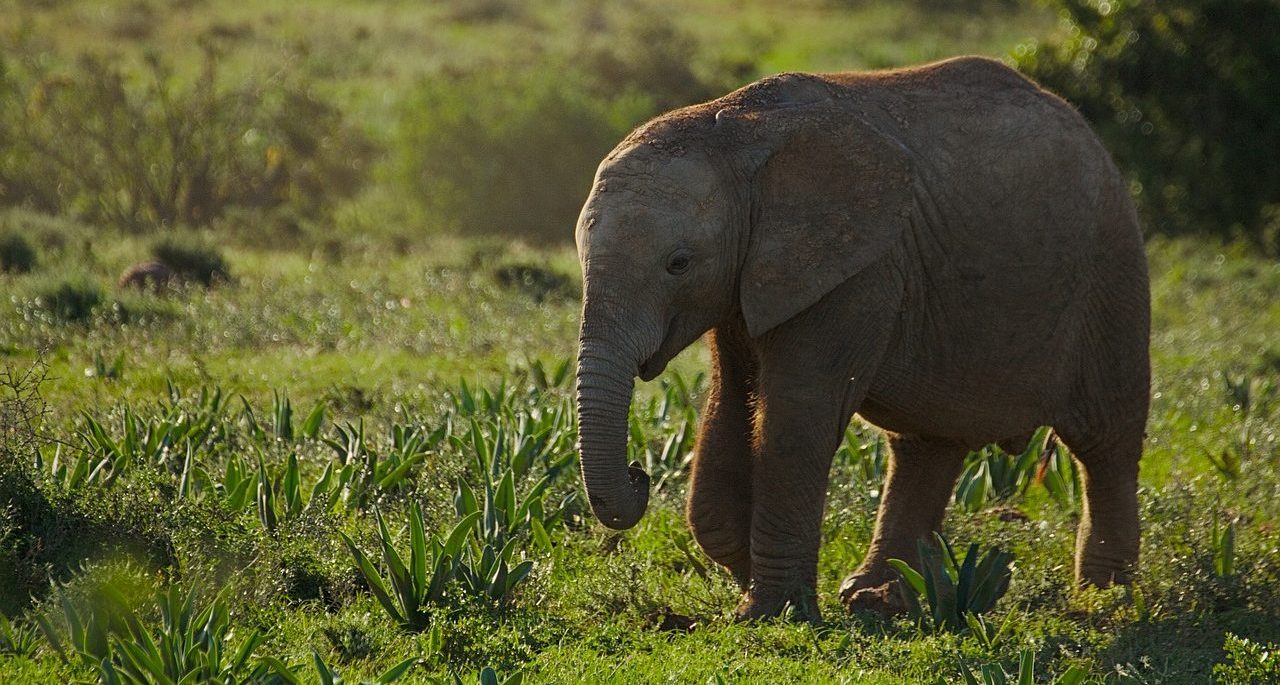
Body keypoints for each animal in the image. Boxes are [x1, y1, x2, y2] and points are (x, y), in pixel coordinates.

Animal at [572, 56, 1150, 621]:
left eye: (678, 264)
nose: (639, 473)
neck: (733, 132)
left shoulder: (860, 272)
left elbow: (795, 419)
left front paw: (773, 612)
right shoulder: (746, 283)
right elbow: (729, 404)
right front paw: (750, 581)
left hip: (1111, 272)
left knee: (1106, 440)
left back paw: (1103, 599)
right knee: (925, 443)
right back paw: (880, 597)